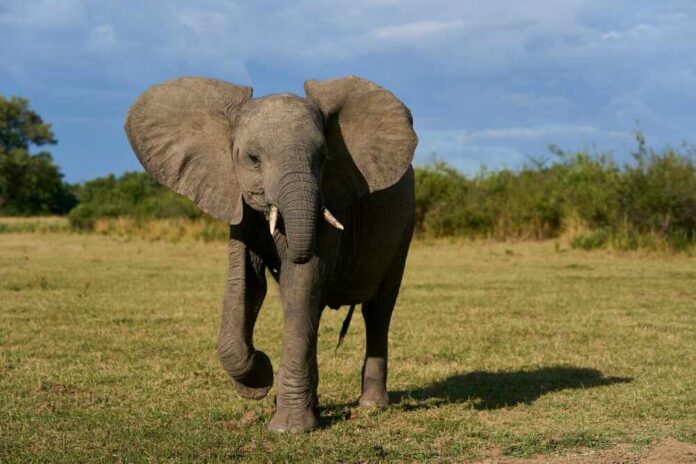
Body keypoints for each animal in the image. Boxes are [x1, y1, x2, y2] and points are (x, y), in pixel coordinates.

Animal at [124, 75, 417, 433]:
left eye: (323, 158)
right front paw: (260, 379)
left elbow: (303, 280)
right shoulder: (238, 204)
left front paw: (288, 427)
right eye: (252, 158)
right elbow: (248, 285)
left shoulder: (331, 198)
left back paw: (372, 405)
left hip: (405, 224)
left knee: (376, 309)